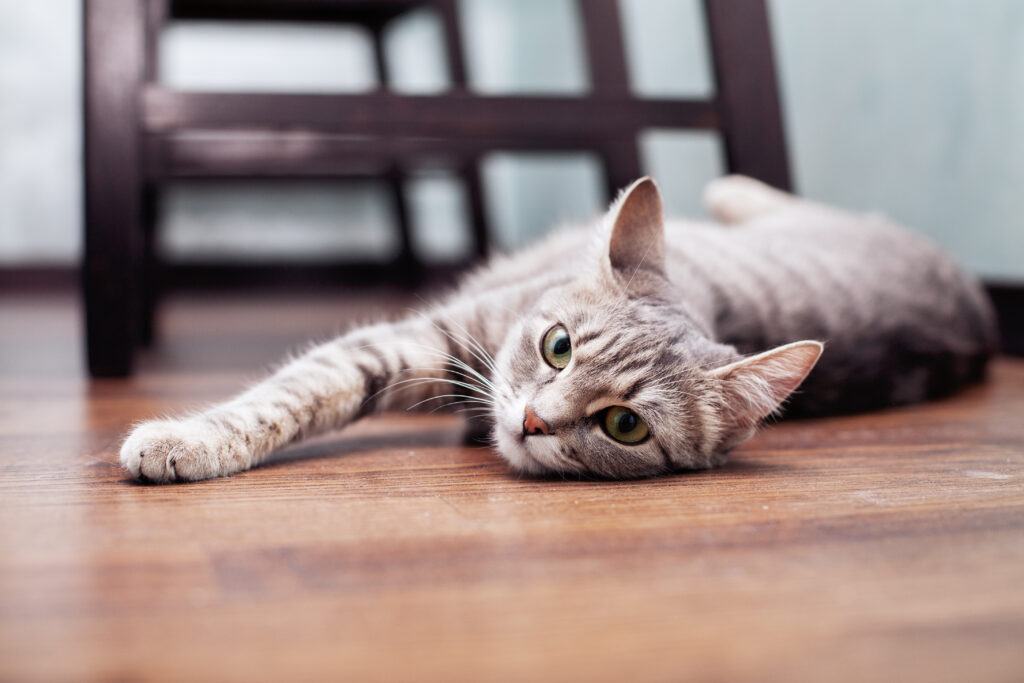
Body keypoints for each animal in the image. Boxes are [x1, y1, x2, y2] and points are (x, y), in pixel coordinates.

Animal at [116, 176, 995, 481]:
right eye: (558, 345)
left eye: (625, 424)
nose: (535, 420)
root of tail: (979, 301)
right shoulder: (425, 338)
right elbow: (292, 394)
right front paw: (189, 438)